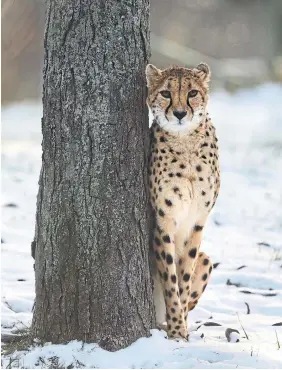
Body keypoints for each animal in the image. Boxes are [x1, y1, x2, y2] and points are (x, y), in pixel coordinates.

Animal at [145, 61, 220, 342]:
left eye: (193, 93)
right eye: (166, 93)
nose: (179, 113)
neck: (185, 140)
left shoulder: (196, 222)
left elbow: (184, 279)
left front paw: (182, 329)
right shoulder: (164, 221)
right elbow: (170, 281)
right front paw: (177, 331)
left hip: (206, 259)